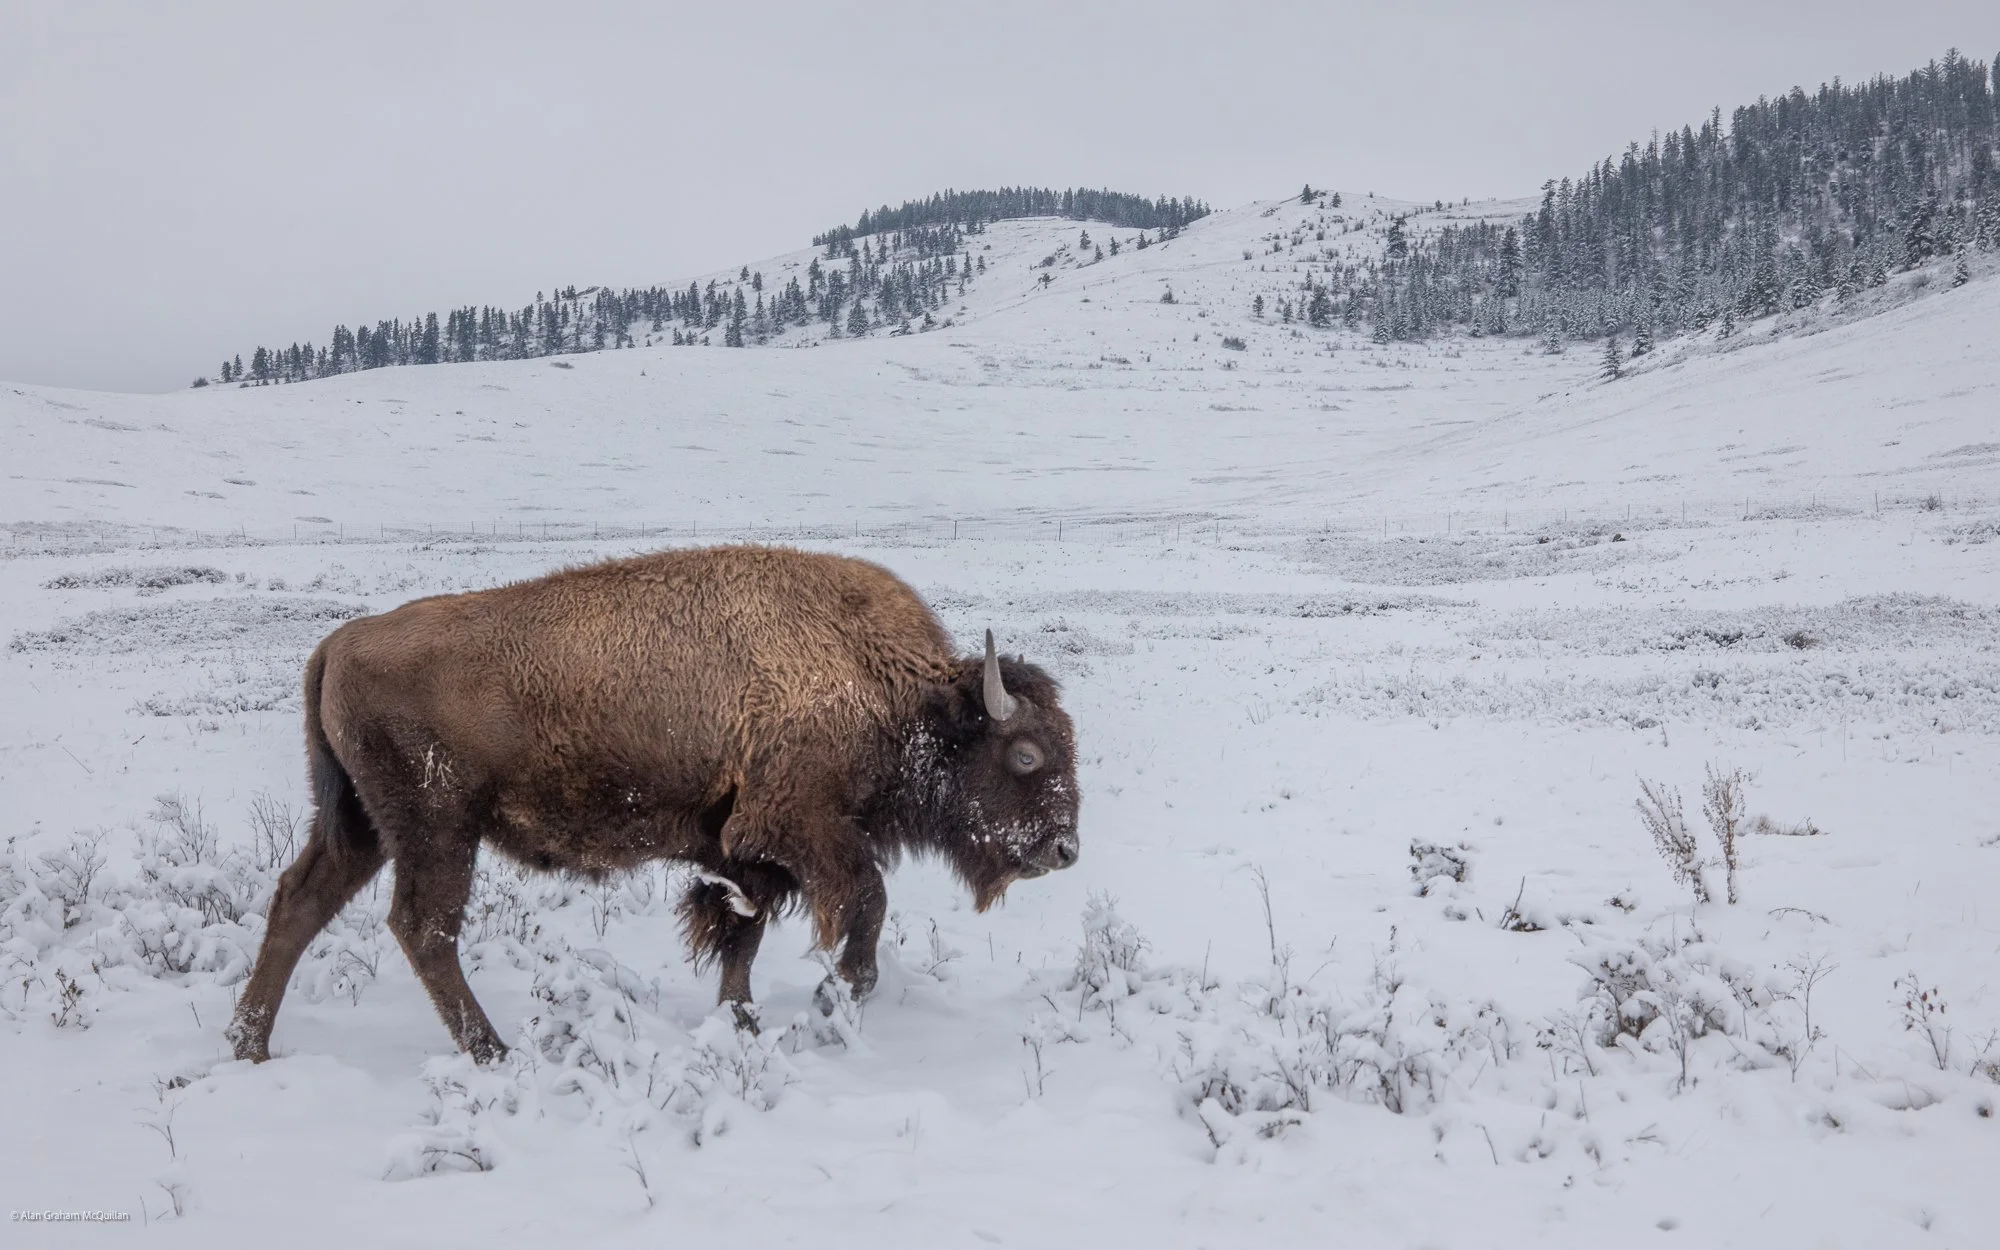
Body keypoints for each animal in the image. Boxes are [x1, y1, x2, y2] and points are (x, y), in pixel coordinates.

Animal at [226, 545, 1080, 1063]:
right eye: (1025, 753)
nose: (1065, 850)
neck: (883, 685)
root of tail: (338, 643)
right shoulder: (799, 827)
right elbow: (865, 902)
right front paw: (839, 997)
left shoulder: (742, 850)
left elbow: (741, 932)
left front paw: (742, 1020)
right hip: (437, 828)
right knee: (423, 929)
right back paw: (493, 1052)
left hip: (364, 827)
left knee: (301, 903)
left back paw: (249, 1043)